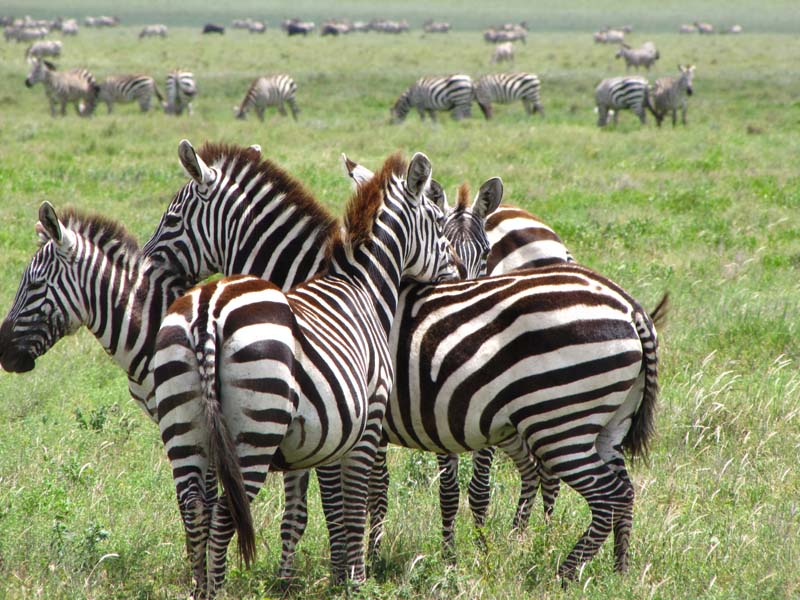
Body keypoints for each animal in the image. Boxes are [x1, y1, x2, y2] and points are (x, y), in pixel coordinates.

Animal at [153, 151, 457, 597]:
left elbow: (314, 510)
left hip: (188, 430)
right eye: (437, 221)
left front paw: (309, 576)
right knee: (222, 512)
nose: (455, 271)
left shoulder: (315, 437)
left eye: (172, 218)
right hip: (252, 432)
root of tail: (209, 308)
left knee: (194, 511)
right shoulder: (357, 425)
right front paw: (349, 578)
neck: (361, 286)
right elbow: (345, 506)